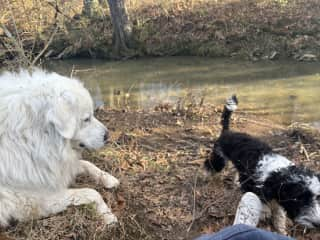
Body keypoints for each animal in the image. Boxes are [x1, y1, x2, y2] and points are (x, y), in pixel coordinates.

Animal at [0, 69, 120, 227]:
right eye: (86, 119)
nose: (107, 135)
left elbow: (86, 164)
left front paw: (108, 178)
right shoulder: (34, 200)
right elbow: (92, 192)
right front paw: (108, 216)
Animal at [205, 95, 320, 232]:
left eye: (318, 197)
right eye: (298, 198)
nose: (317, 224)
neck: (277, 173)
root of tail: (227, 132)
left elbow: (279, 211)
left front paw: (280, 226)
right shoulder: (253, 185)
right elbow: (262, 199)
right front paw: (265, 212)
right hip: (219, 157)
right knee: (210, 164)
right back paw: (207, 175)